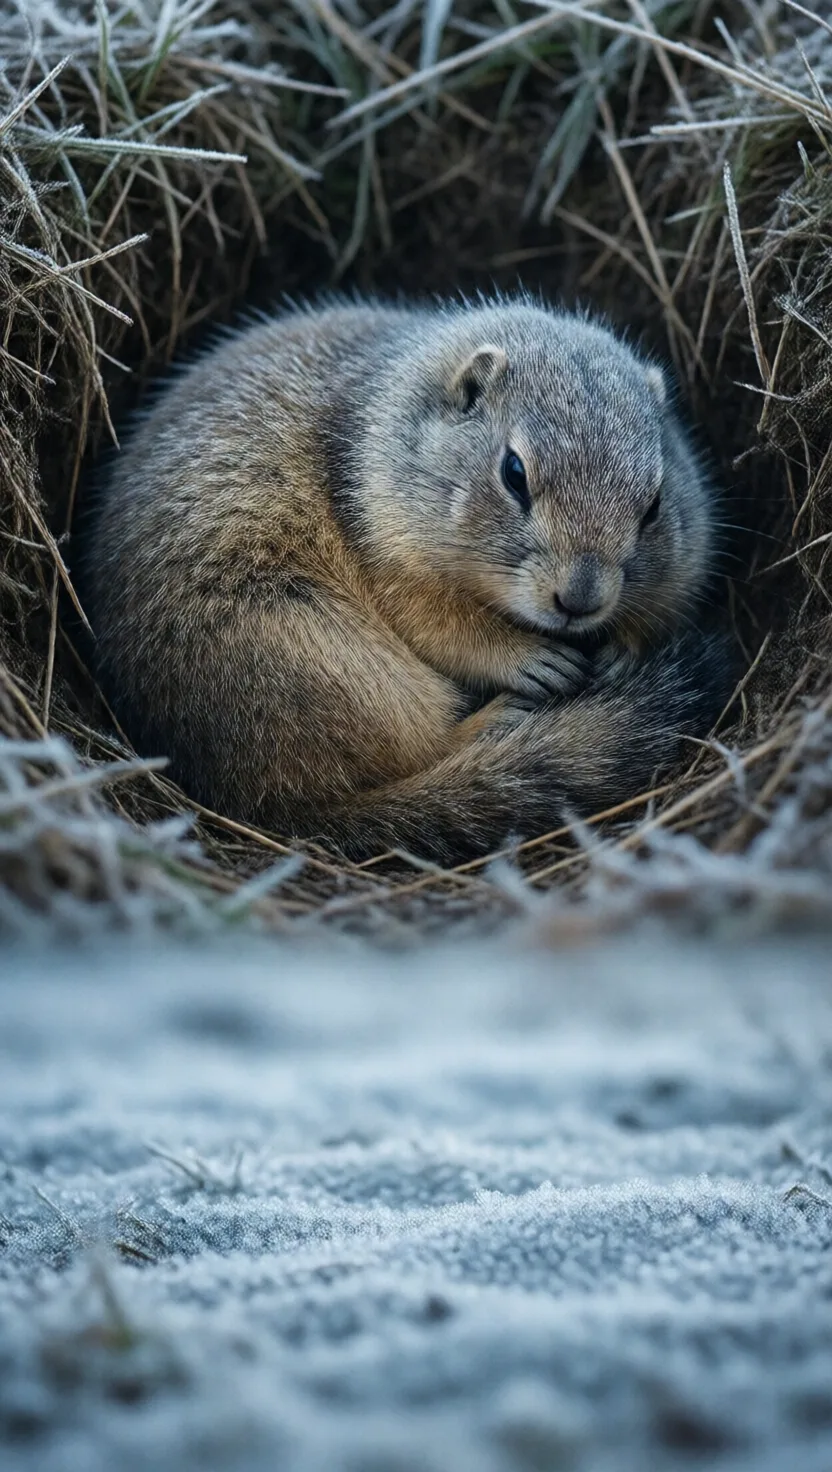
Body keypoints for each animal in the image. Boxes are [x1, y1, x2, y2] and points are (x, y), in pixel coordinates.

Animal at [86, 294, 733, 862]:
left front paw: (624, 648)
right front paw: (532, 659)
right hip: (321, 658)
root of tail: (261, 807)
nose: (579, 600)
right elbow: (439, 625)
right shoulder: (389, 545)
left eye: (654, 504)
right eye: (514, 472)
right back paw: (498, 721)